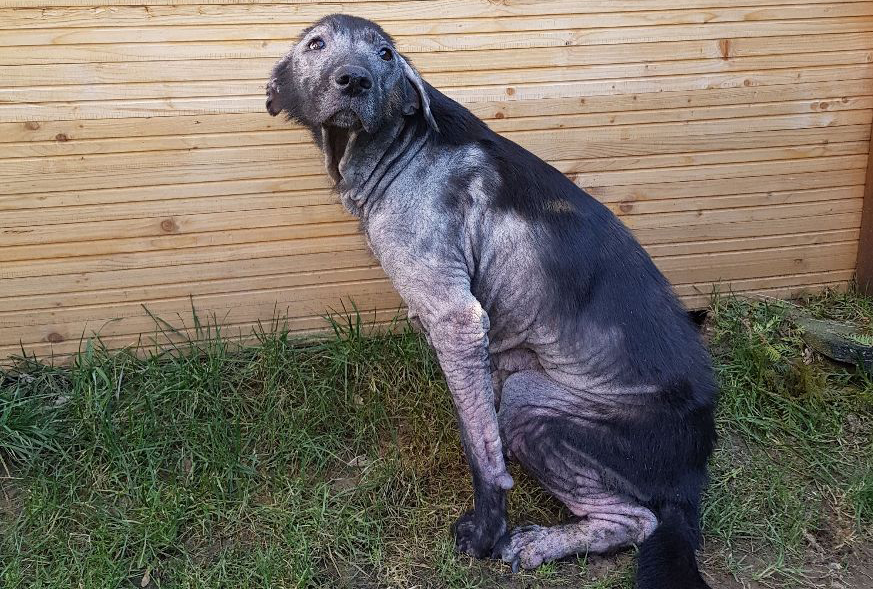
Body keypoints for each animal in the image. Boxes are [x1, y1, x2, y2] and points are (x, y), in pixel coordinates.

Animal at [266, 14, 716, 588]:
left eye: (386, 54)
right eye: (316, 44)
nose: (354, 80)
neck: (401, 147)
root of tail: (692, 481)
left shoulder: (456, 319)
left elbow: (483, 452)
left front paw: (485, 535)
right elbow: (479, 423)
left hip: (533, 406)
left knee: (637, 520)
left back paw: (541, 543)